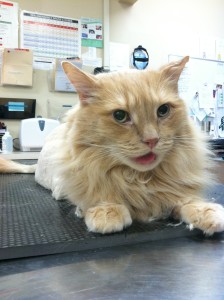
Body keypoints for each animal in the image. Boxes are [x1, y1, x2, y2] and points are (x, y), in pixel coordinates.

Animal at [0, 56, 224, 234]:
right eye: (120, 116)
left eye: (163, 111)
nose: (152, 140)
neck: (139, 179)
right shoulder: (66, 186)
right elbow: (98, 190)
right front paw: (107, 211)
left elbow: (183, 199)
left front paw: (203, 211)